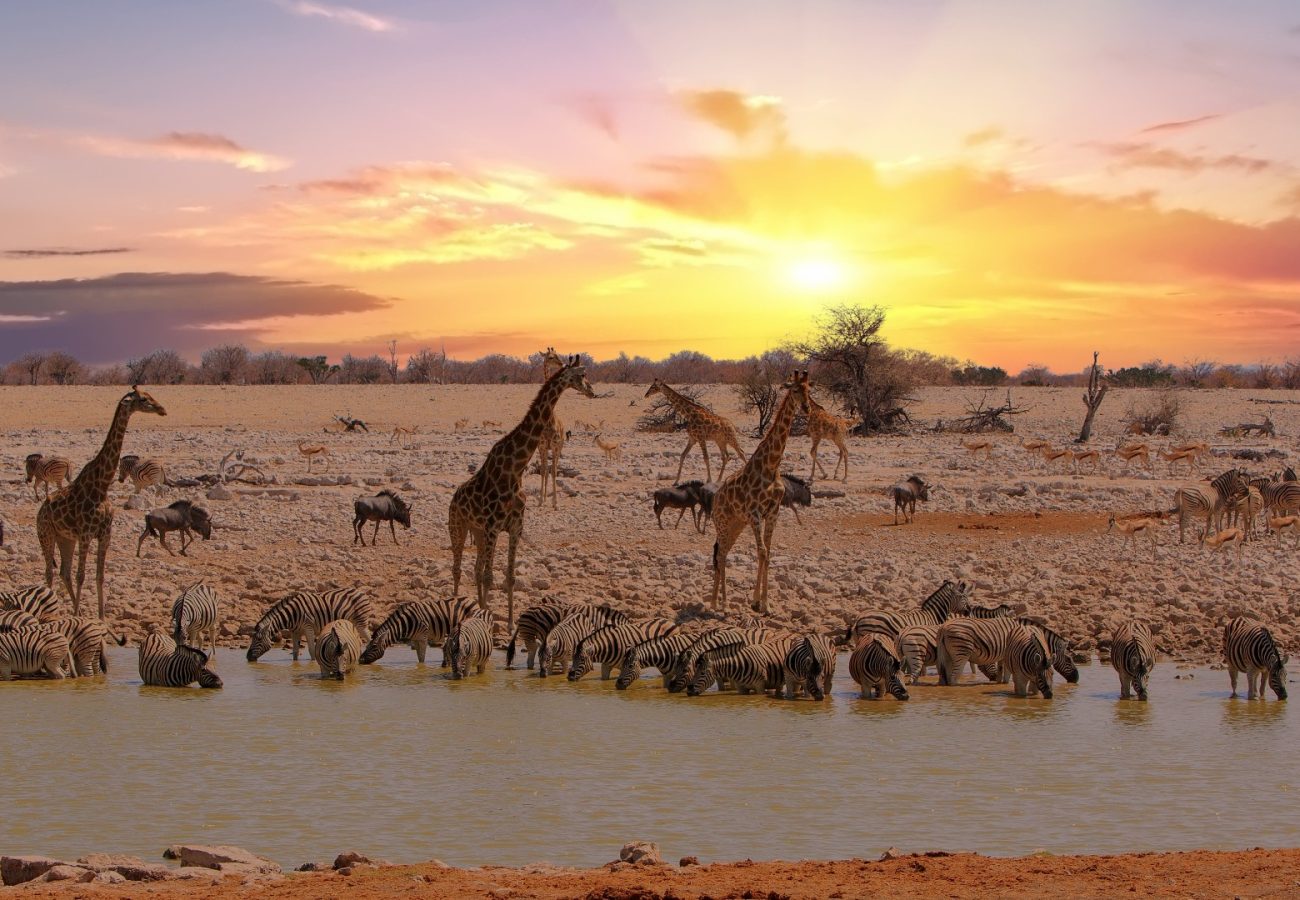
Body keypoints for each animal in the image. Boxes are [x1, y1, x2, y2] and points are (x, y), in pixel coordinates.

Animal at [36, 382, 166, 621]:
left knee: (64, 571)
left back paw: (72, 608)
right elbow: (82, 575)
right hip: (45, 533)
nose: (162, 409)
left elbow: (99, 575)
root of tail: (40, 510)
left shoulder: (105, 533)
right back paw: (51, 613)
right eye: (143, 399)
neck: (101, 486)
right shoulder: (86, 533)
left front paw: (101, 616)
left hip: (65, 538)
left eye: (150, 394)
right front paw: (79, 616)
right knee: (50, 571)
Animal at [245, 587, 374, 663]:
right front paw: (295, 665)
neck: (291, 614)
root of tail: (361, 592)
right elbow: (295, 651)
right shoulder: (295, 631)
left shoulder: (308, 628)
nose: (248, 657)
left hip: (361, 622)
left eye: (258, 639)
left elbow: (311, 649)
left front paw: (313, 663)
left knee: (369, 640)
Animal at [444, 356, 592, 629]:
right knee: (458, 568)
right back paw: (457, 605)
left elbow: (508, 576)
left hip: (477, 531)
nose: (592, 390)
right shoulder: (493, 527)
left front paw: (510, 623)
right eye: (582, 374)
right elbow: (491, 576)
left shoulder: (514, 527)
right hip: (458, 525)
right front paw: (491, 622)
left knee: (476, 568)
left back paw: (479, 607)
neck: (515, 470)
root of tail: (454, 497)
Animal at [707, 369, 806, 616]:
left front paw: (761, 603)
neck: (771, 465)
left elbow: (767, 552)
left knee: (721, 552)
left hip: (736, 525)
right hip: (723, 522)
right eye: (795, 389)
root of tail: (716, 499)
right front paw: (761, 603)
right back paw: (722, 605)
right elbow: (761, 552)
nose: (807, 407)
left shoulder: (772, 512)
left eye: (809, 389)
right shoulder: (755, 513)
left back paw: (714, 603)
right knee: (720, 555)